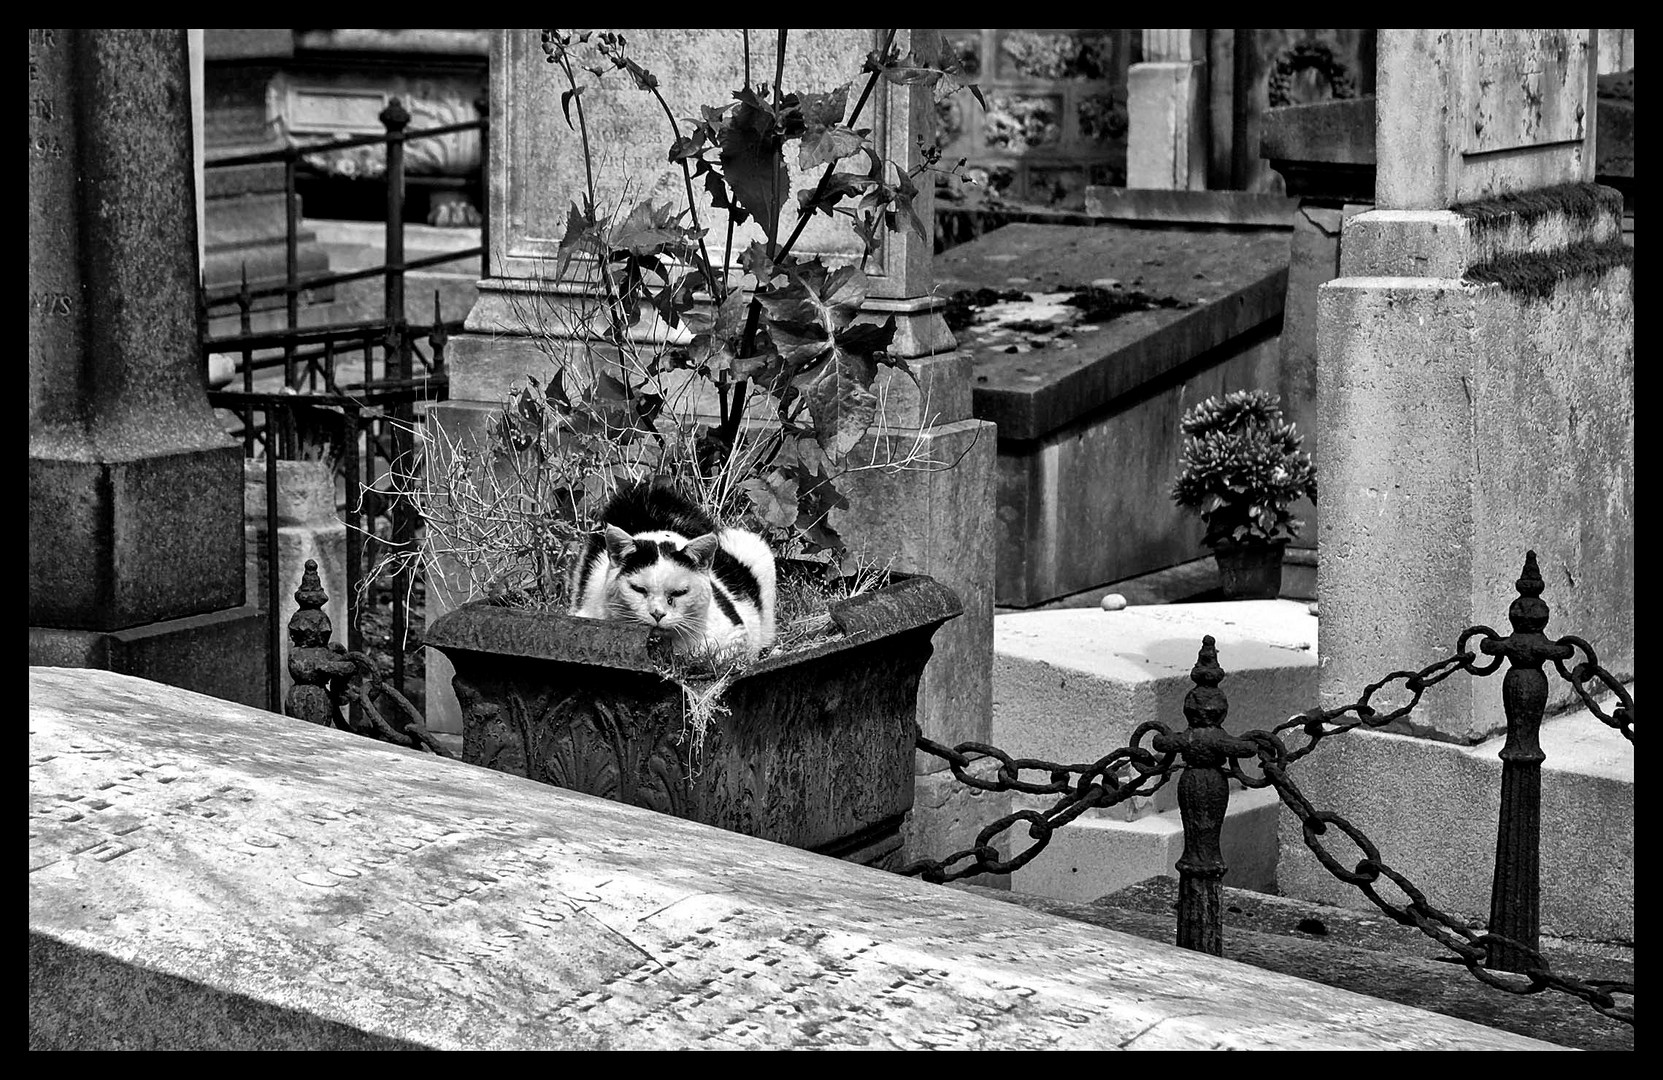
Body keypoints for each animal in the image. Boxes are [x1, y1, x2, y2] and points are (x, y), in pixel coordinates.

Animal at [568, 479, 774, 662]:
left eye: (680, 593)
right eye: (639, 590)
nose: (657, 614)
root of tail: (648, 491)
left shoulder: (737, 635)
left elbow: (724, 657)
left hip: (752, 546)